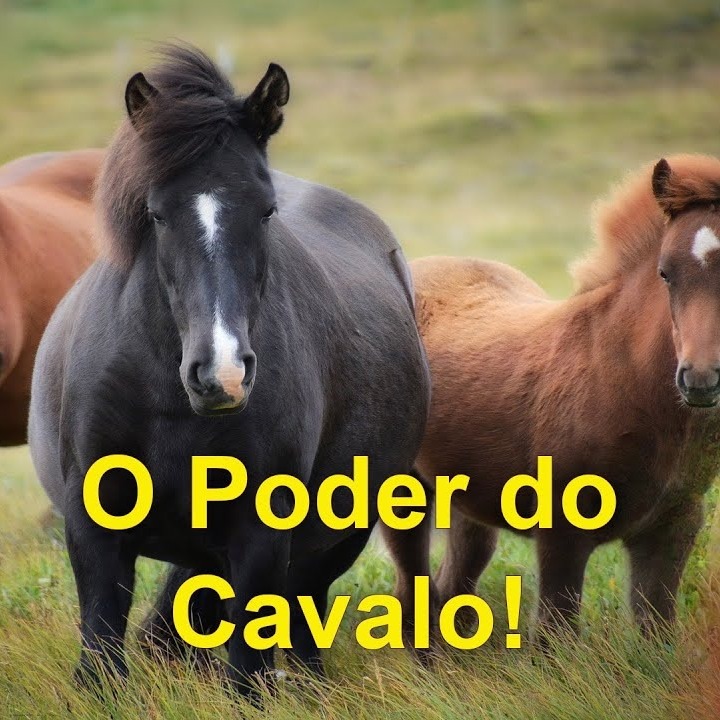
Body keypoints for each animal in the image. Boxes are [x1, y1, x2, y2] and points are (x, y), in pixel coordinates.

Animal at [28, 45, 430, 696]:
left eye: (266, 211)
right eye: (156, 214)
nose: (223, 375)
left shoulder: (260, 540)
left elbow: (248, 674)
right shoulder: (94, 533)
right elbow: (102, 656)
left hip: (336, 537)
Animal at [383, 154, 720, 641]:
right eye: (665, 272)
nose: (699, 379)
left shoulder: (673, 527)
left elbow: (656, 632)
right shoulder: (561, 532)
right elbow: (554, 633)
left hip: (467, 501)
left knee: (454, 588)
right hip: (401, 493)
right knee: (412, 595)